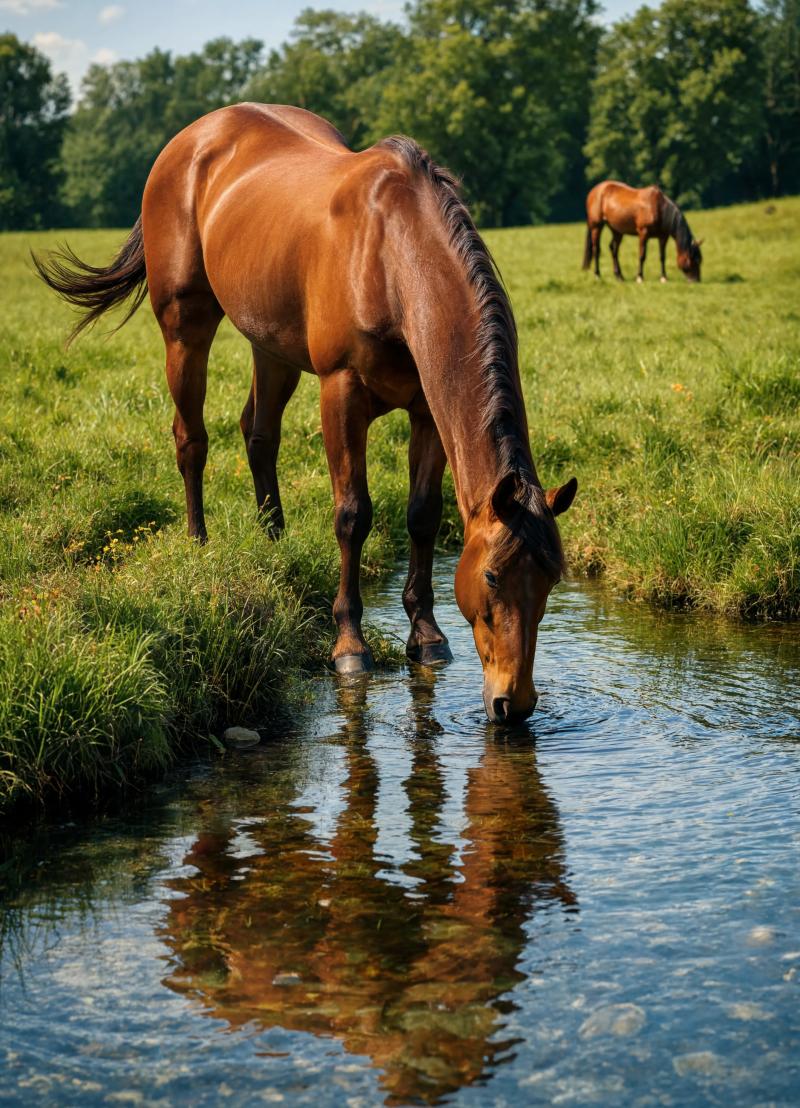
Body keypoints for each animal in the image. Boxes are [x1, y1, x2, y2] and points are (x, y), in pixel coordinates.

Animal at [34, 103, 577, 725]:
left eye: (551, 579)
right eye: (491, 575)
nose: (514, 704)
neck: (391, 257)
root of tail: (193, 136)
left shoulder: (426, 411)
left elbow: (421, 514)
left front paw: (427, 635)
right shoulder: (341, 394)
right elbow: (353, 515)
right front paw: (349, 644)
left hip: (270, 343)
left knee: (258, 433)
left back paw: (275, 544)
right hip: (185, 326)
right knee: (191, 438)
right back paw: (198, 546)